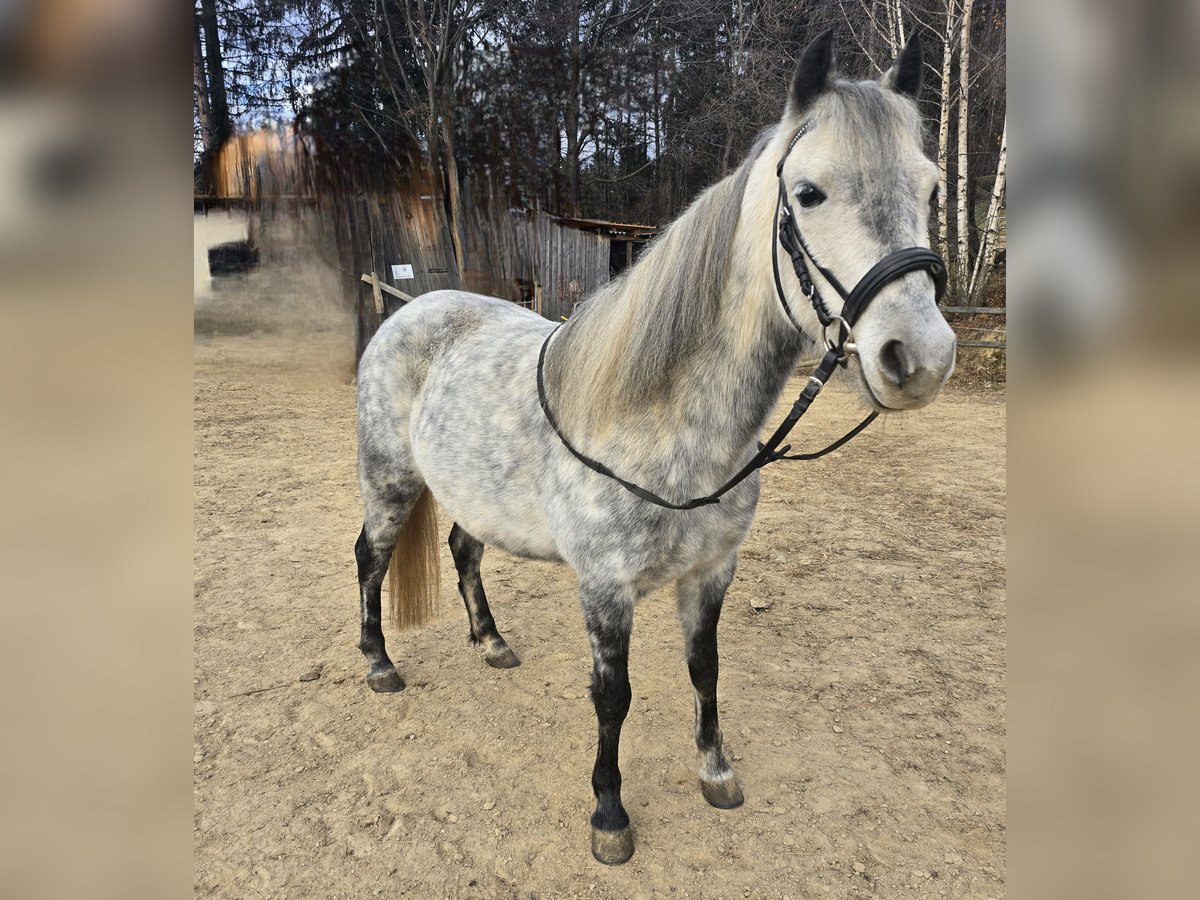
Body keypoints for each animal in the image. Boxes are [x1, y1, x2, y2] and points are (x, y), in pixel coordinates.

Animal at [350, 33, 955, 868]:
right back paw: (379, 664)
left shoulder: (711, 571)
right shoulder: (606, 587)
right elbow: (614, 697)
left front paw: (716, 771)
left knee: (463, 551)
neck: (669, 423)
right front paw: (609, 814)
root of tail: (414, 308)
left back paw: (492, 643)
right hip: (389, 481)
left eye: (931, 189)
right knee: (370, 560)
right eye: (808, 193)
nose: (920, 357)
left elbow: (705, 668)